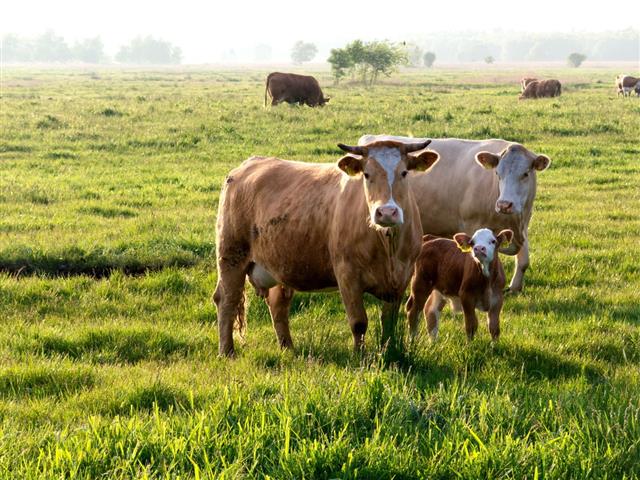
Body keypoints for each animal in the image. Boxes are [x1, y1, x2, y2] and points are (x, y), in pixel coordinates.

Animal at [213, 140, 440, 356]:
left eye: (404, 173)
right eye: (367, 175)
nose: (386, 212)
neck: (388, 247)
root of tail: (249, 164)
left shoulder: (401, 278)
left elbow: (389, 324)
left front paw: (388, 351)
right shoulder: (347, 274)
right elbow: (359, 322)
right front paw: (360, 356)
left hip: (278, 262)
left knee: (278, 304)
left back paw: (287, 347)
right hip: (231, 255)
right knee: (226, 300)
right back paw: (227, 351)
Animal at [358, 134, 551, 293]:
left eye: (525, 174)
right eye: (498, 173)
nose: (504, 204)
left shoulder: (523, 225)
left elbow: (524, 261)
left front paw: (515, 288)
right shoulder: (473, 224)